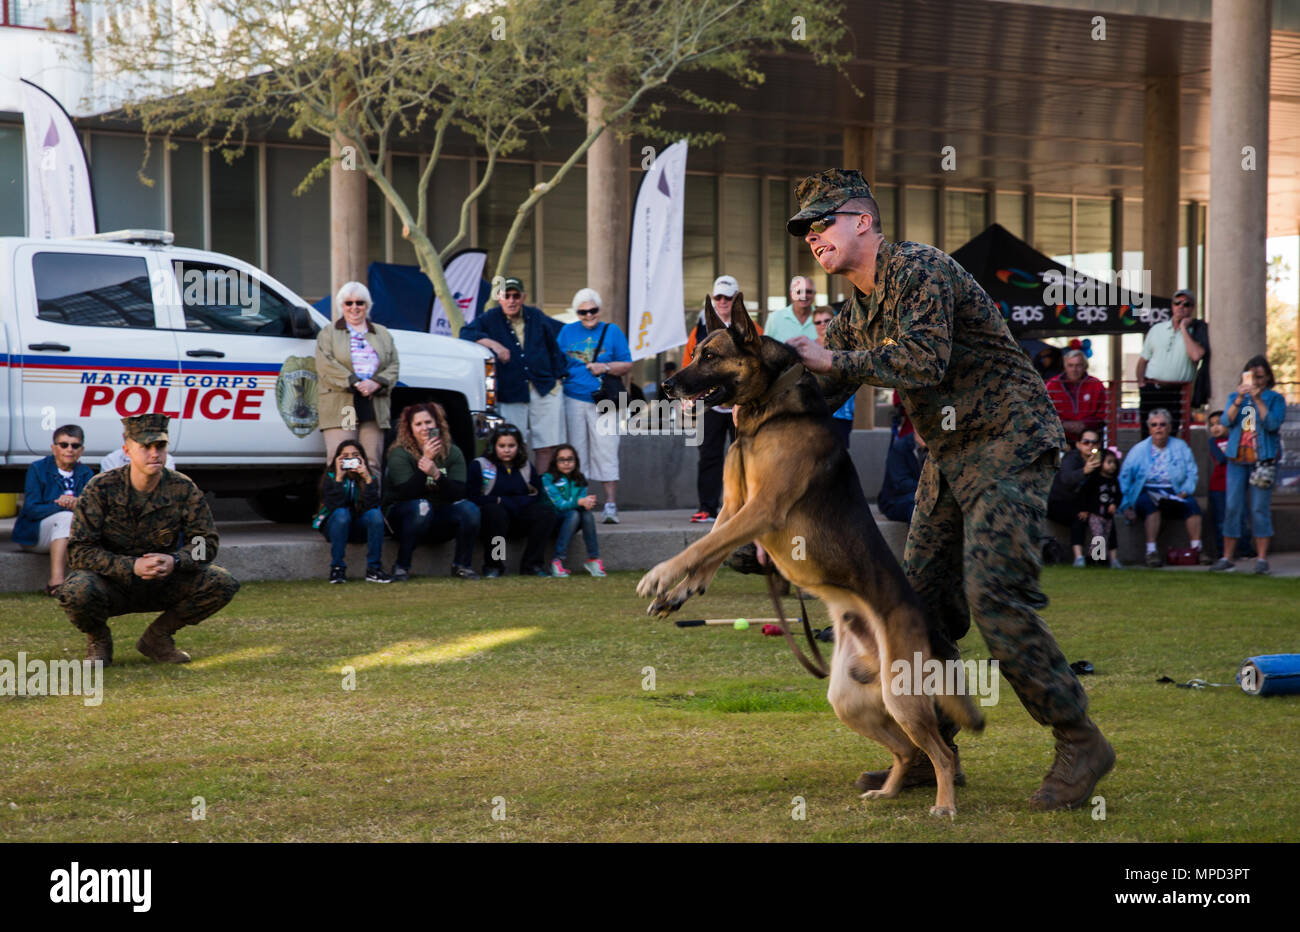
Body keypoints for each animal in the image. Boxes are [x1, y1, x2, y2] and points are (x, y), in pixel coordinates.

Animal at [639, 295, 982, 816]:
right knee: (905, 750)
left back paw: (943, 804)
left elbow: (701, 548)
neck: (765, 412)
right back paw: (886, 791)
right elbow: (708, 553)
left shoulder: (759, 509)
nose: (665, 385)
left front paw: (660, 577)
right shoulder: (734, 508)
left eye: (710, 355)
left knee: (939, 750)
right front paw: (678, 594)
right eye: (697, 352)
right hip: (849, 701)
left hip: (901, 697)